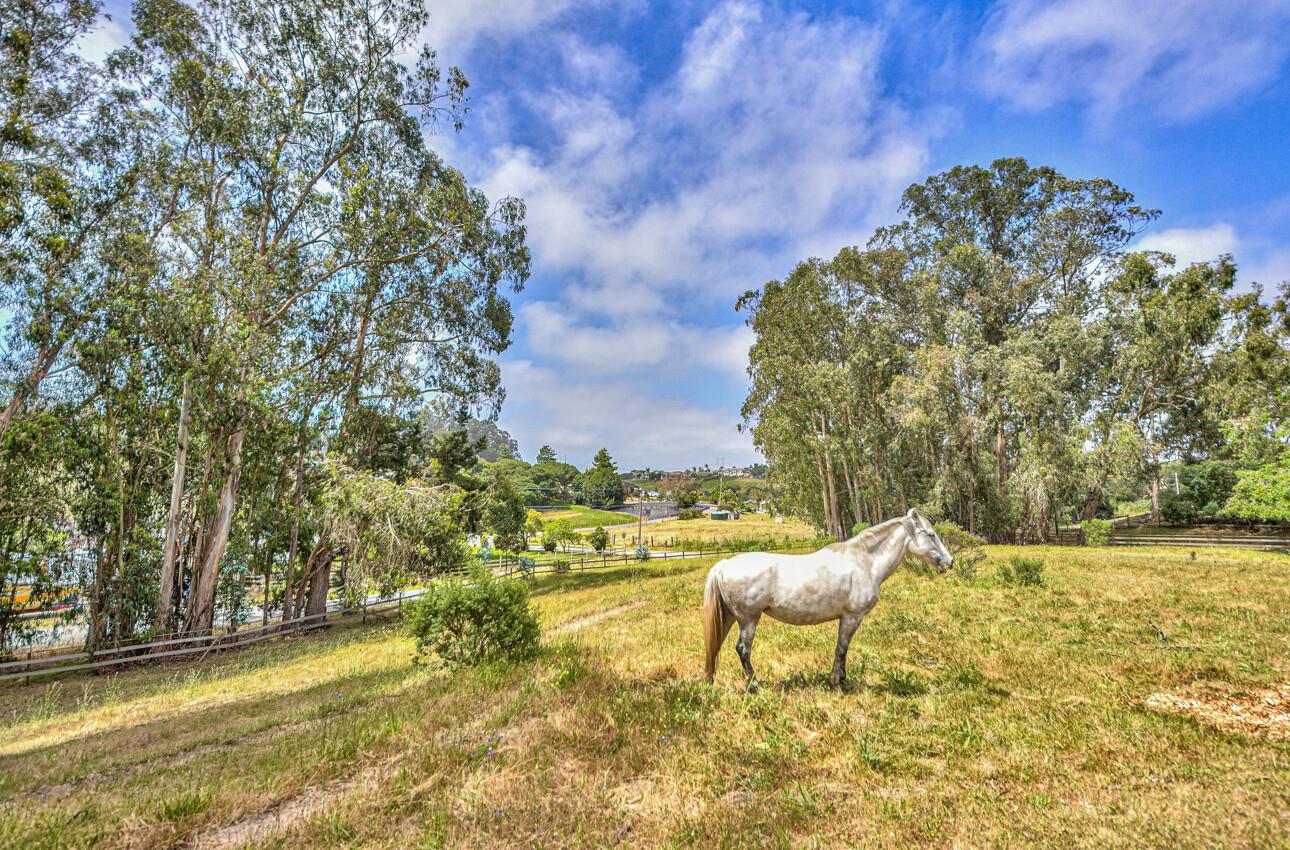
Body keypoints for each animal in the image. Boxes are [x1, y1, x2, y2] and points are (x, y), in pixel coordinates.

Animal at [701, 508, 954, 686]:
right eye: (931, 535)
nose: (949, 561)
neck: (864, 562)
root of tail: (725, 564)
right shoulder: (852, 617)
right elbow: (841, 649)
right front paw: (837, 683)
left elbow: (843, 650)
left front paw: (843, 679)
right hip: (748, 619)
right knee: (743, 650)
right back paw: (755, 685)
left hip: (730, 618)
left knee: (717, 646)